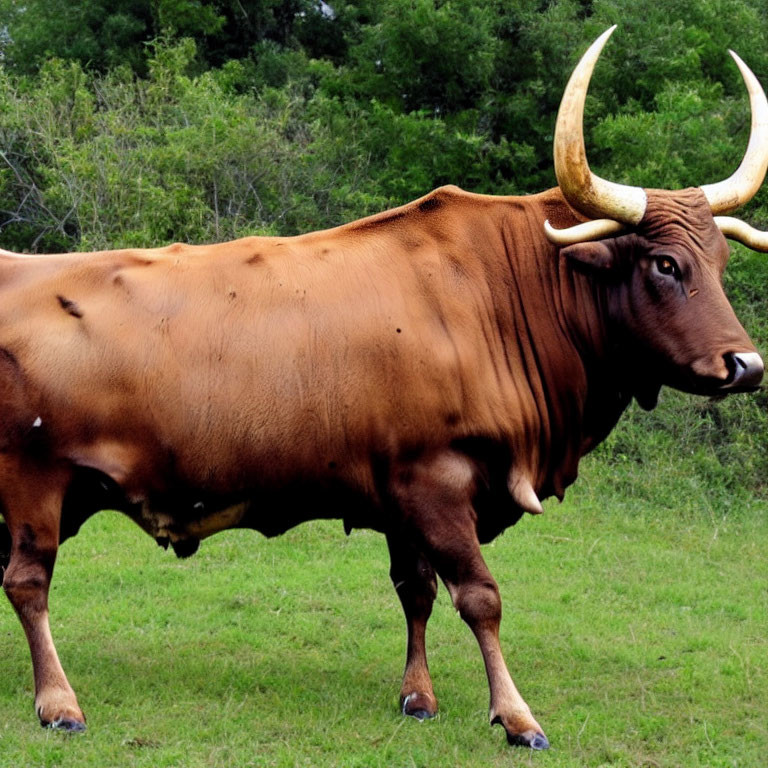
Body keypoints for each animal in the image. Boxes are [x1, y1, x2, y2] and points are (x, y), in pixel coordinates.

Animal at [0, 30, 764, 752]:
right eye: (664, 264)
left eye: (720, 262)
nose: (746, 366)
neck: (498, 290)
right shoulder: (438, 480)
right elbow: (481, 598)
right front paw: (516, 716)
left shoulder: (402, 491)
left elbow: (415, 592)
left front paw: (418, 697)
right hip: (33, 481)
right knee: (27, 584)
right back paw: (58, 703)